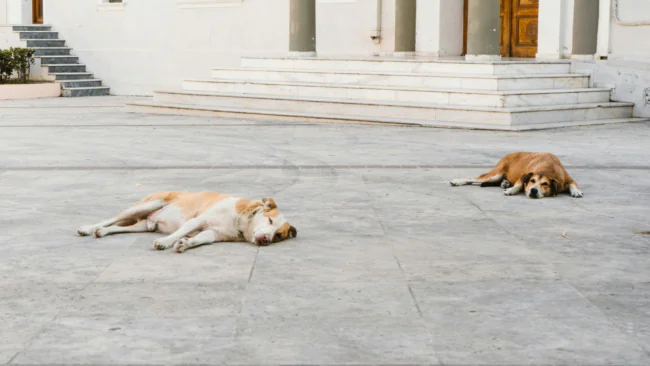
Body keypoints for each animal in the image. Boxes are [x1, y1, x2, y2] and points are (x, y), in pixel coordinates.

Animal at [77, 190, 298, 253]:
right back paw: (89, 228)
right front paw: (166, 242)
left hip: (142, 225)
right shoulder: (198, 220)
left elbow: (201, 239)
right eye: (269, 220)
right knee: (112, 218)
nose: (266, 240)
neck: (241, 220)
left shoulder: (214, 233)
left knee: (119, 227)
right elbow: (181, 231)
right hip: (146, 205)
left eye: (278, 235)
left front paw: (185, 243)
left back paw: (103, 232)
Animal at [450, 152, 584, 200]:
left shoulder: (567, 179)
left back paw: (505, 183)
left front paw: (576, 191)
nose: (533, 190)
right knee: (473, 179)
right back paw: (457, 181)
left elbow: (573, 184)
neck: (547, 169)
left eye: (545, 184)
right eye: (532, 181)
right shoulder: (523, 176)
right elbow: (519, 184)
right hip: (496, 173)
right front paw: (511, 190)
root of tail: (509, 154)